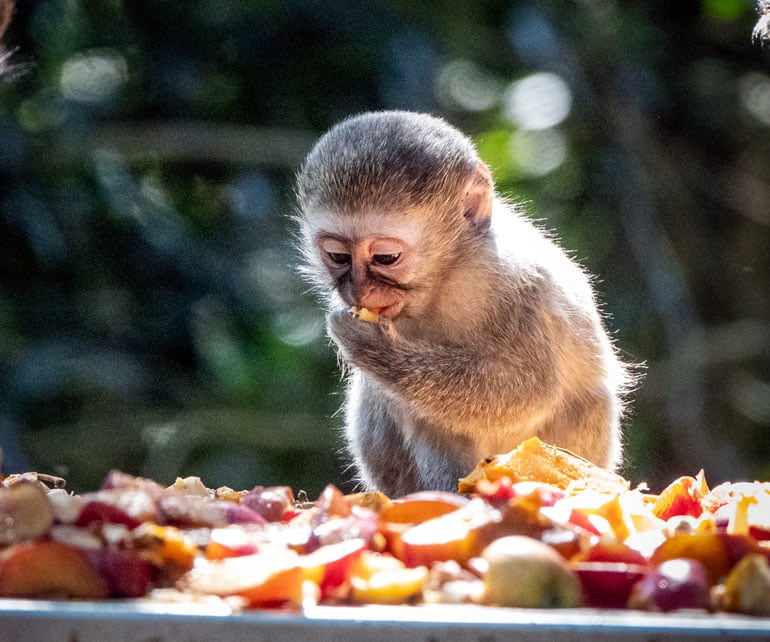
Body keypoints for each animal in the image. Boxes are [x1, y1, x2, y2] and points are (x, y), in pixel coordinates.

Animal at [296, 110, 632, 496]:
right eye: (338, 257)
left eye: (386, 258)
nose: (360, 290)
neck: (444, 277)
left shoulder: (512, 281)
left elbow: (531, 389)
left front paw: (376, 351)